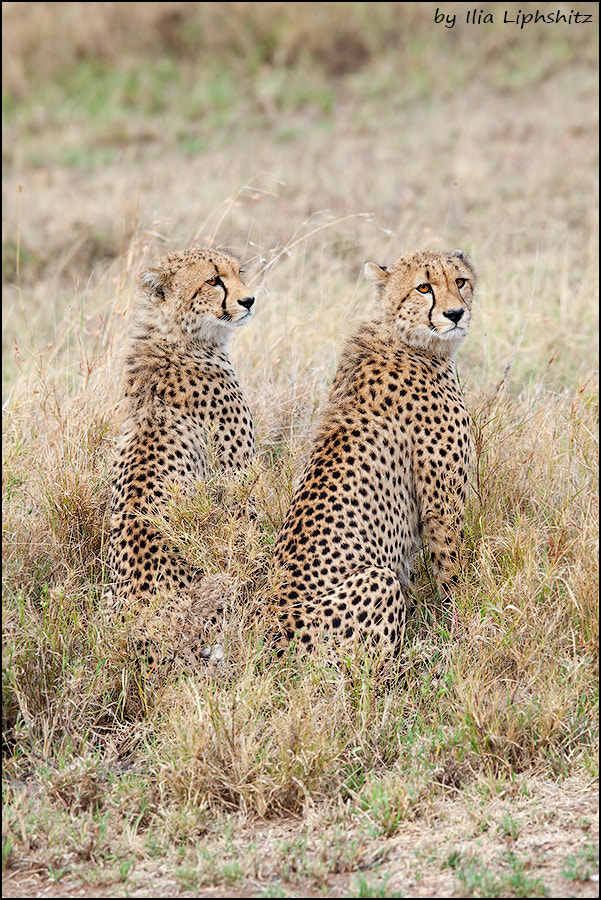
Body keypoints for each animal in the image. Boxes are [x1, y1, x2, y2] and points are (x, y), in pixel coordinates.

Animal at [270, 250, 474, 656]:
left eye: (460, 281)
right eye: (423, 287)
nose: (456, 314)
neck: (402, 335)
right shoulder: (441, 504)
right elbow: (450, 564)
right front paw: (462, 620)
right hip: (379, 580)